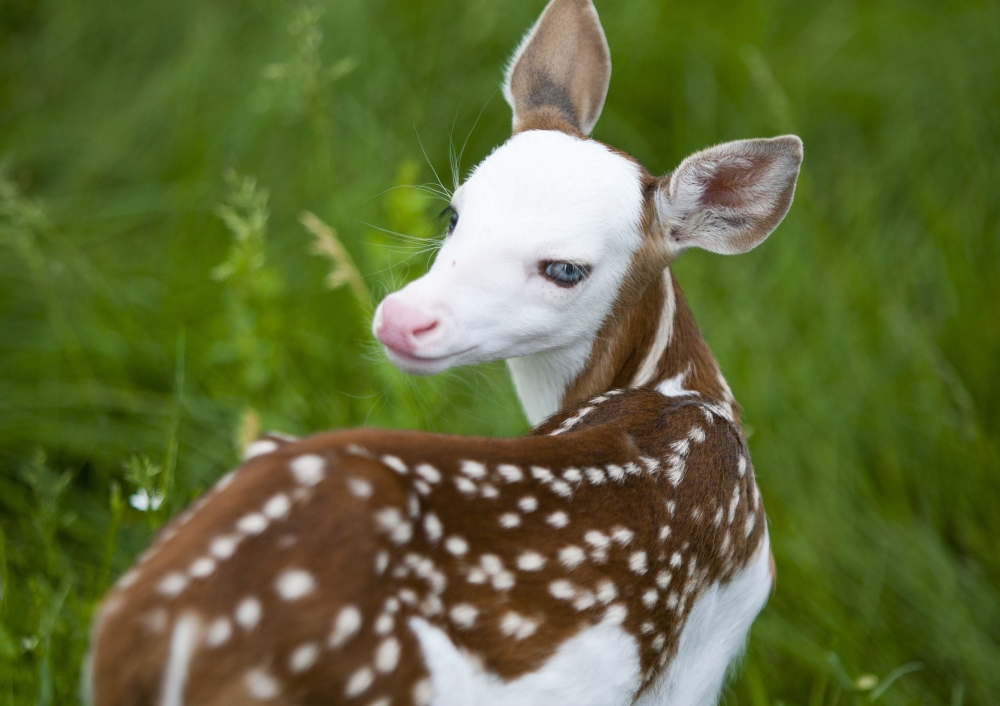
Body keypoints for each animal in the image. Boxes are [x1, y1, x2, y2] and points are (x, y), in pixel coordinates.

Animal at [86, 1, 804, 704]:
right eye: (452, 215)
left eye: (565, 269)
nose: (403, 319)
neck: (684, 394)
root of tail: (158, 634)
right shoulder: (702, 654)